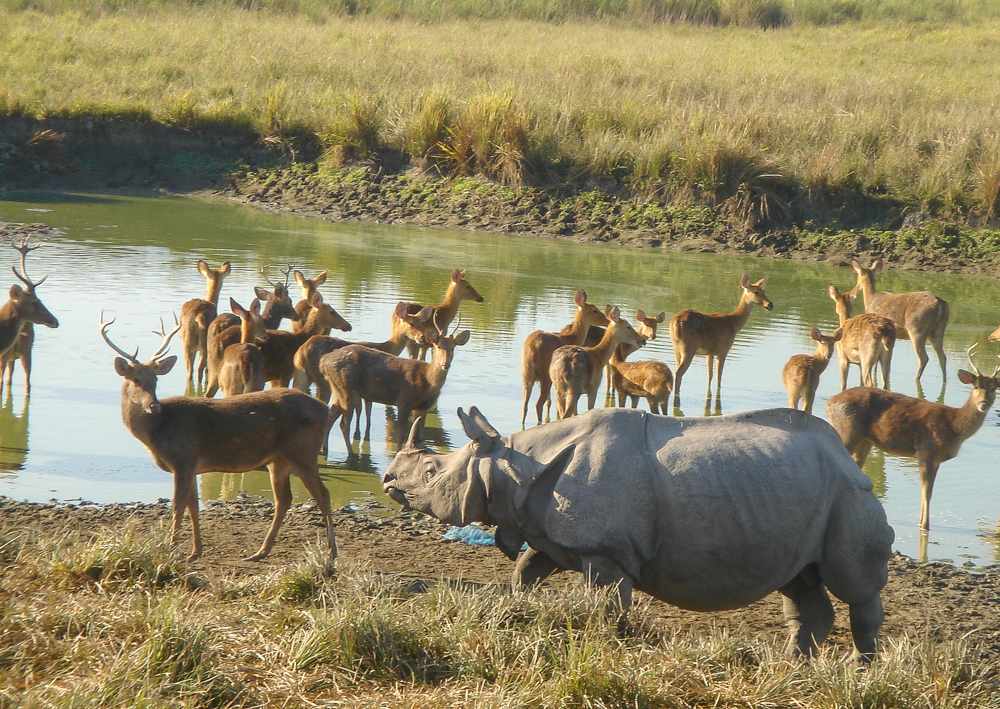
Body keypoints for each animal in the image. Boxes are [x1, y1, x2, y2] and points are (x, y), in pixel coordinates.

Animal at [383, 406, 894, 661]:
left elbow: (607, 605)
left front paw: (607, 642)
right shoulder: (556, 534)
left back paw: (859, 667)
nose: (387, 480)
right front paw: (519, 608)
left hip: (848, 494)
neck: (510, 464)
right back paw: (791, 665)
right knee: (799, 581)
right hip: (795, 492)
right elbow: (527, 568)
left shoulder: (606, 551)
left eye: (430, 472)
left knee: (854, 585)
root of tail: (846, 455)